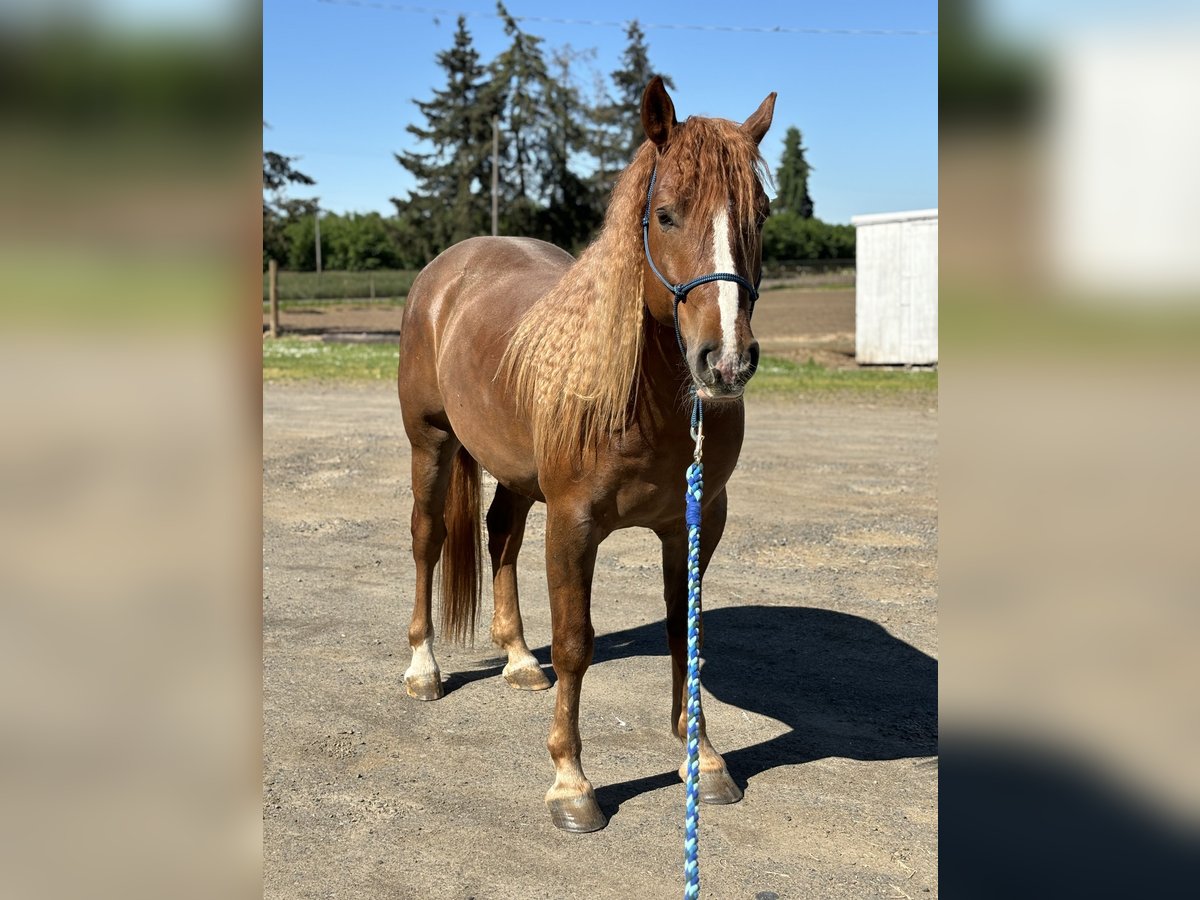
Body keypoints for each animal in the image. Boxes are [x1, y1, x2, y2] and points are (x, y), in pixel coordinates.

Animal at [398, 75, 772, 830]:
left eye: (762, 215)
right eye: (665, 214)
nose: (725, 362)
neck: (644, 395)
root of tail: (447, 271)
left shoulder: (695, 524)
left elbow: (685, 636)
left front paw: (704, 760)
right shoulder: (575, 524)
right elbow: (576, 643)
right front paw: (571, 782)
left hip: (515, 474)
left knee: (501, 537)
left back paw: (517, 659)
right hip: (431, 445)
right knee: (427, 541)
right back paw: (424, 668)